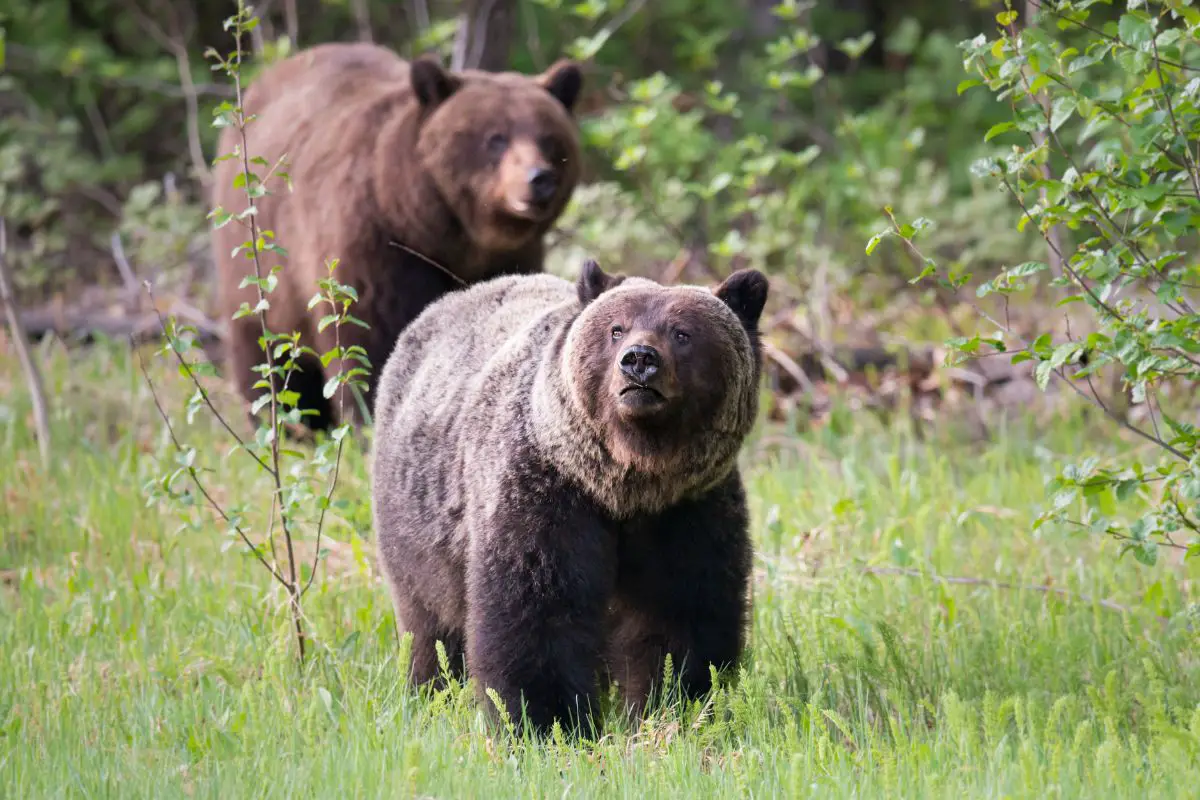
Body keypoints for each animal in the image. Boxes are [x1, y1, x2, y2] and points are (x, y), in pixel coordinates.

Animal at [211, 42, 585, 431]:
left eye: (549, 139)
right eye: (495, 138)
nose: (539, 178)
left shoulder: (512, 257)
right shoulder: (374, 250)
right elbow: (369, 340)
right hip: (259, 261)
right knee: (267, 354)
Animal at [369, 260, 772, 734]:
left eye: (682, 332)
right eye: (616, 329)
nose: (639, 360)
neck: (629, 485)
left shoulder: (688, 509)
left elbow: (682, 616)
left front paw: (671, 707)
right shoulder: (547, 493)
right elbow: (539, 613)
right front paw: (548, 721)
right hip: (417, 531)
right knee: (429, 626)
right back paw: (430, 693)